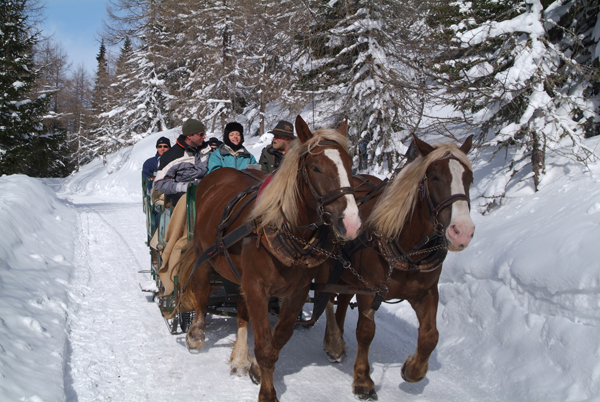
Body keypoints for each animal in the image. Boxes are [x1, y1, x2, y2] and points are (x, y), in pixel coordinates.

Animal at [179, 115, 360, 402]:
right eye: (316, 168)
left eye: (351, 165)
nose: (351, 223)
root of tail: (217, 174)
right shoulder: (257, 287)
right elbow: (265, 347)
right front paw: (267, 392)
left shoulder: (296, 292)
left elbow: (279, 338)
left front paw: (253, 368)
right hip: (203, 253)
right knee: (202, 290)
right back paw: (196, 333)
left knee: (241, 310)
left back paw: (240, 358)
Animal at [322, 134, 476, 398]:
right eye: (435, 176)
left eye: (469, 178)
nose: (462, 231)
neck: (406, 246)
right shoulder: (369, 290)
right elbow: (366, 331)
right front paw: (363, 380)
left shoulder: (426, 292)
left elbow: (430, 336)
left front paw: (412, 370)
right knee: (328, 298)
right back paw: (333, 342)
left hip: (347, 276)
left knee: (340, 300)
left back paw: (337, 341)